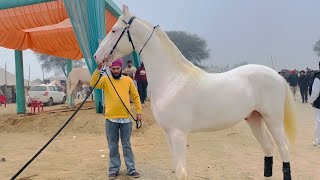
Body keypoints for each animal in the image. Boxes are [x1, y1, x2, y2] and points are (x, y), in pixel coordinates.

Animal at [94, 4, 296, 179]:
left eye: (114, 30)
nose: (97, 56)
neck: (172, 80)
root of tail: (277, 76)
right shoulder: (168, 133)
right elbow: (176, 168)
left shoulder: (178, 133)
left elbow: (182, 171)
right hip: (254, 118)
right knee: (268, 147)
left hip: (273, 119)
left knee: (284, 149)